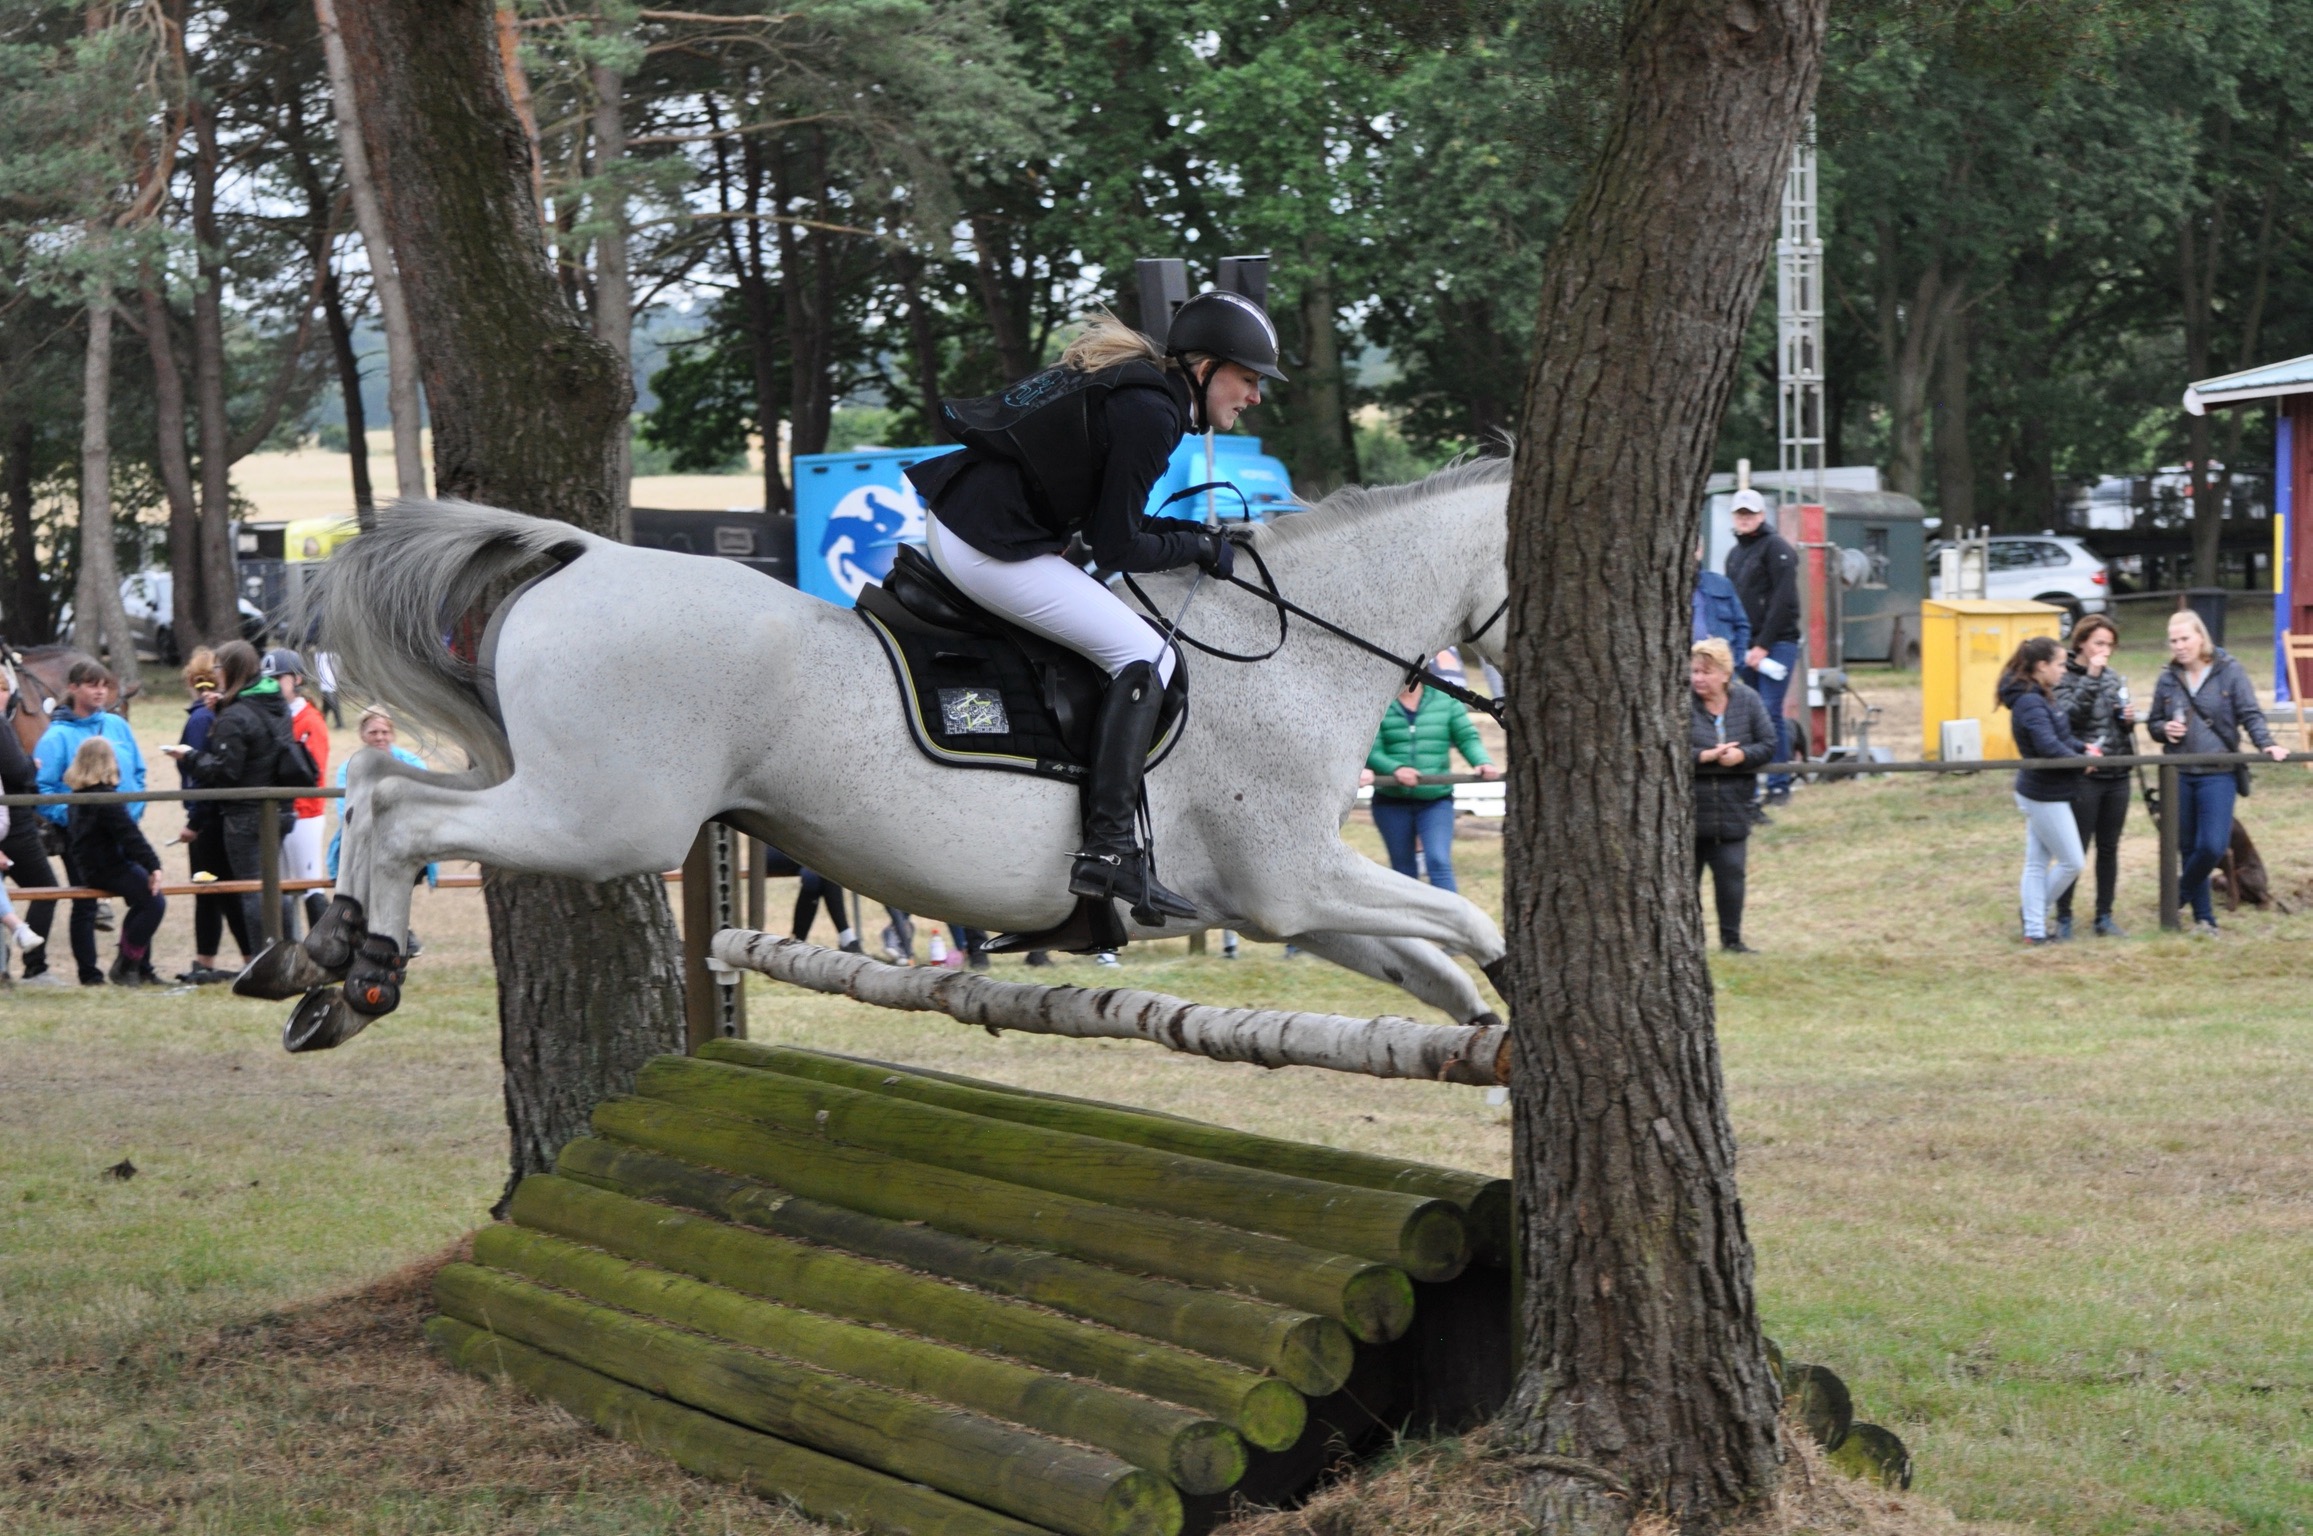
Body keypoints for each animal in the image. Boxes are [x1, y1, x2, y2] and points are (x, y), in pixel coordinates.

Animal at [253, 459, 1516, 1050]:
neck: (1291, 646)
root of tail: (582, 555)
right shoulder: (1295, 878)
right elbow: (1472, 920)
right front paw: (1518, 1006)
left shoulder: (1282, 901)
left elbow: (1432, 966)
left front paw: (1482, 1041)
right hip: (603, 817)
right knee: (407, 818)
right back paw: (359, 972)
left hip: (544, 781)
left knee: (375, 787)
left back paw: (318, 962)